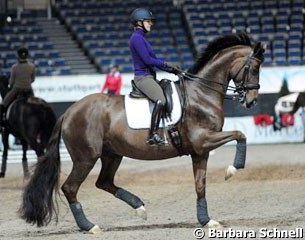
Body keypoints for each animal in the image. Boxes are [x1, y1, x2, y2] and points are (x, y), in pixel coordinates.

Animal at [20, 32, 264, 232]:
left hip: (112, 155)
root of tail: (69, 111)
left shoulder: (200, 151)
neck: (201, 95)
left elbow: (200, 185)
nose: (251, 101)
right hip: (86, 157)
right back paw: (89, 226)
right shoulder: (203, 141)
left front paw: (206, 220)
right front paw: (232, 169)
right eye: (253, 68)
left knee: (104, 182)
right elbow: (240, 135)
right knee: (70, 187)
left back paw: (139, 208)